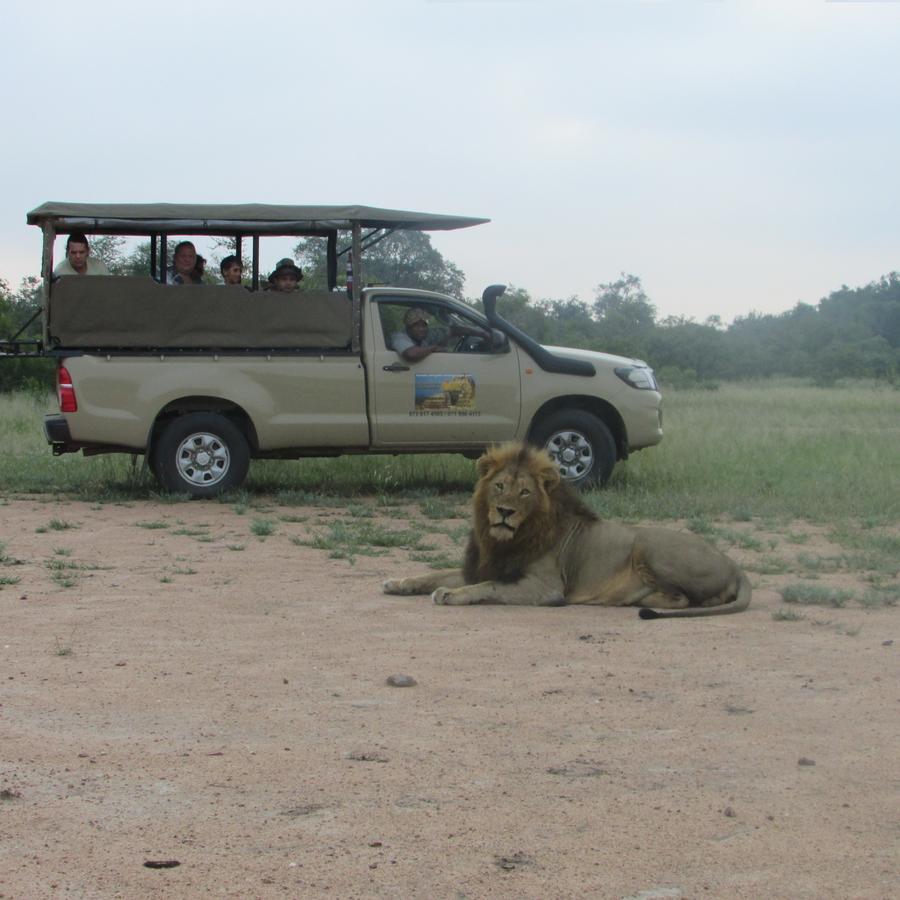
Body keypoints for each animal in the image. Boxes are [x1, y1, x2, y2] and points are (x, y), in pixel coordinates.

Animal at [384, 442, 748, 620]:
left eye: (525, 492)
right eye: (500, 486)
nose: (504, 512)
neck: (501, 540)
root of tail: (736, 565)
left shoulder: (546, 589)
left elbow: (487, 586)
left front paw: (450, 594)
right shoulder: (483, 566)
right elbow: (434, 572)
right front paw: (398, 582)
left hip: (649, 543)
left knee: (689, 599)